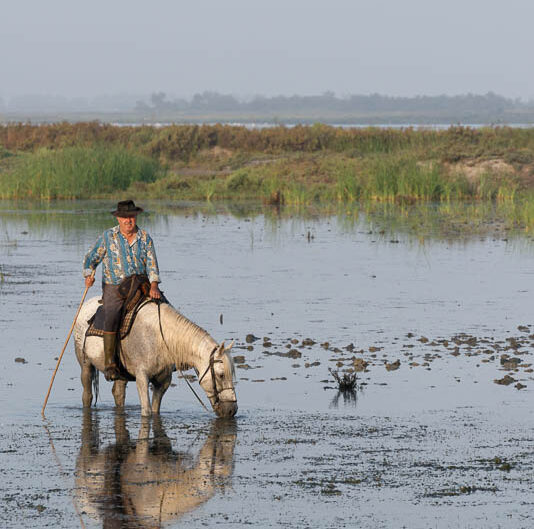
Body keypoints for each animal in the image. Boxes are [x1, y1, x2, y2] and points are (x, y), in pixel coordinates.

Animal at [74, 296, 239, 416]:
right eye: (221, 375)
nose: (232, 410)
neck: (161, 339)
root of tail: (86, 304)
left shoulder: (163, 382)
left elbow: (155, 410)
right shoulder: (142, 377)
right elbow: (146, 411)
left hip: (121, 374)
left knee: (118, 393)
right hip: (85, 365)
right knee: (87, 395)